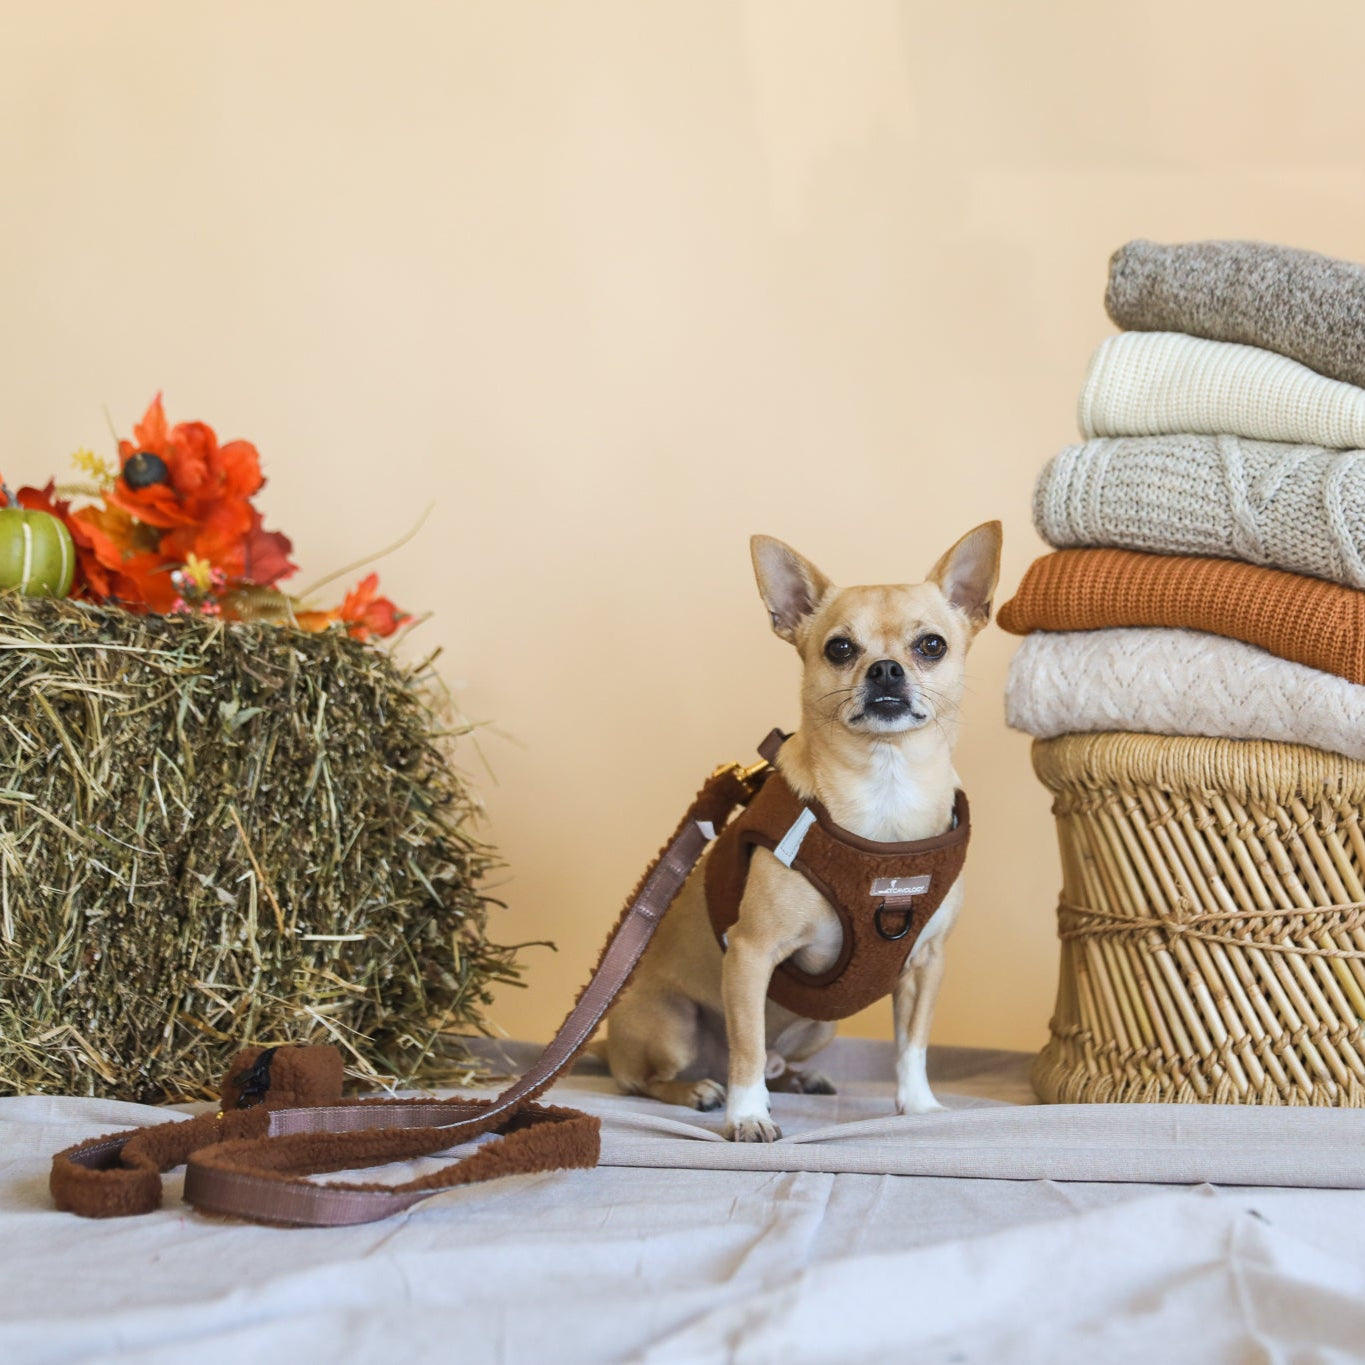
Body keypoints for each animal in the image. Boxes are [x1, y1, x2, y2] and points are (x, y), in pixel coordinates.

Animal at [608, 521, 1004, 1141]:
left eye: (931, 645)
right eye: (839, 648)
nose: (885, 669)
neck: (885, 788)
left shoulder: (925, 965)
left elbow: (912, 1045)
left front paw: (918, 1106)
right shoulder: (750, 955)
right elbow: (746, 1047)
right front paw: (747, 1116)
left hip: (822, 1027)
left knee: (775, 1060)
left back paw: (797, 1078)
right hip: (672, 1024)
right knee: (655, 1077)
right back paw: (697, 1089)